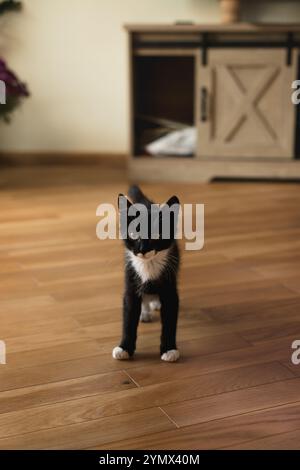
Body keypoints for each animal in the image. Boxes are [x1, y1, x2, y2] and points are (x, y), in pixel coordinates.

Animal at [112, 185, 179, 362]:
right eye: (133, 234)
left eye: (157, 236)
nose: (142, 250)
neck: (148, 264)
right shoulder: (130, 280)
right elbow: (129, 317)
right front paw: (124, 348)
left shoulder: (170, 285)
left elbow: (169, 319)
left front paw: (169, 350)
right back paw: (146, 311)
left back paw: (154, 303)